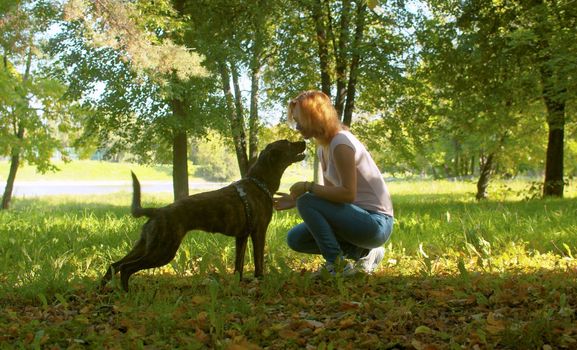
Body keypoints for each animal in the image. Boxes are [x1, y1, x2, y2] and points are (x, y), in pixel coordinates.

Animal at [101, 139, 306, 290]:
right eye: (288, 143)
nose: (303, 140)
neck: (258, 182)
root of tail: (157, 211)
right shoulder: (258, 232)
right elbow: (258, 262)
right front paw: (260, 280)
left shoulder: (241, 237)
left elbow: (238, 265)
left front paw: (238, 284)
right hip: (163, 250)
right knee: (126, 268)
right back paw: (126, 293)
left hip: (145, 246)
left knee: (114, 265)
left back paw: (104, 290)